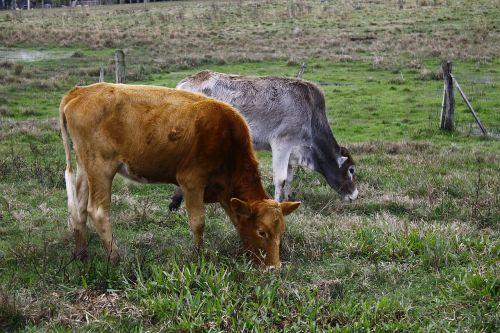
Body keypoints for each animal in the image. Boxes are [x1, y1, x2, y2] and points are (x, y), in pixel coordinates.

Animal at [60, 83, 298, 268]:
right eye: (261, 232)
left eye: (281, 232)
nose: (274, 268)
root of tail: (80, 91)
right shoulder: (191, 181)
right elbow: (198, 222)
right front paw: (200, 256)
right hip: (101, 167)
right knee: (98, 210)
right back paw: (115, 257)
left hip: (85, 166)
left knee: (79, 208)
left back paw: (81, 254)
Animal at [170, 70, 358, 210]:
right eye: (351, 170)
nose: (355, 195)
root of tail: (187, 81)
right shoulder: (282, 143)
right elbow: (280, 178)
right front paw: (277, 204)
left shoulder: (292, 151)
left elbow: (289, 177)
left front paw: (289, 198)